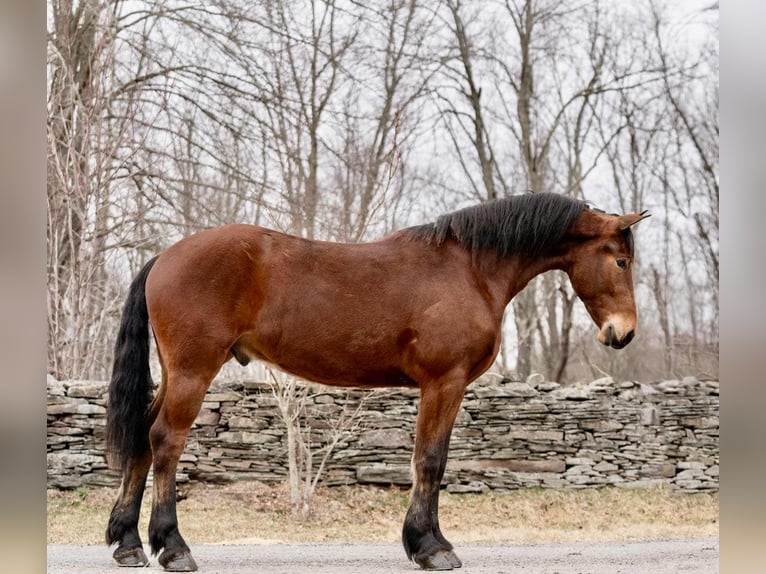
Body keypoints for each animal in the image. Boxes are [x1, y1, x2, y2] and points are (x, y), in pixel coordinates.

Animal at [104, 192, 649, 571]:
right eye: (621, 261)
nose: (622, 333)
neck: (470, 270)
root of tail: (164, 257)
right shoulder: (444, 383)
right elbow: (430, 461)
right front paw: (431, 547)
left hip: (175, 374)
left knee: (142, 439)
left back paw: (128, 545)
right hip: (193, 372)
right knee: (165, 441)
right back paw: (173, 548)